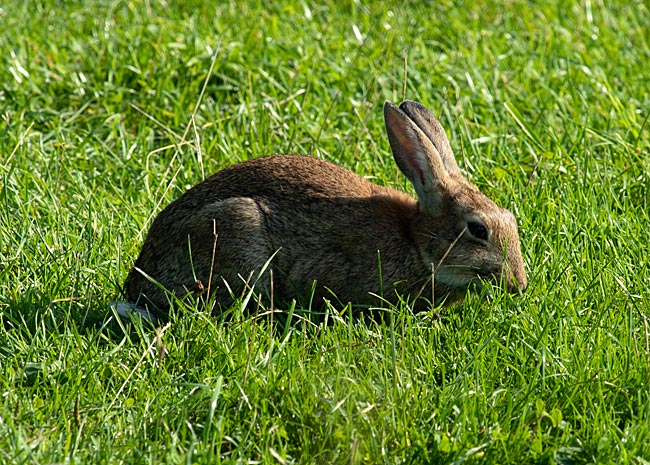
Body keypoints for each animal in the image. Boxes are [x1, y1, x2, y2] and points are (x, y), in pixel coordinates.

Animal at [124, 97, 524, 316]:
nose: (518, 283)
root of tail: (138, 281)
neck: (415, 241)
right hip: (238, 227)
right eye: (478, 230)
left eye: (510, 218)